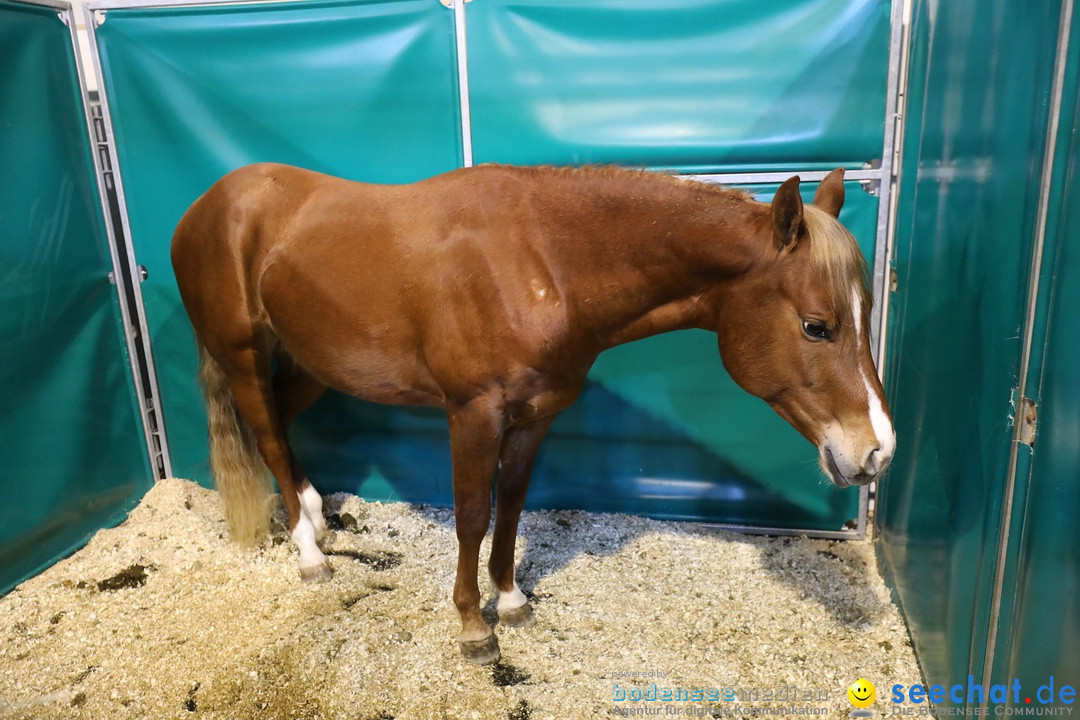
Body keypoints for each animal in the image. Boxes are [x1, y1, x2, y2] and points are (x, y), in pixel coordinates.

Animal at [168, 162, 894, 664]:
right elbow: (471, 515)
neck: (541, 261)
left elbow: (512, 506)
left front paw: (512, 600)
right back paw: (309, 551)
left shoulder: (536, 416)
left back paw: (320, 515)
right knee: (265, 433)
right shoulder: (472, 415)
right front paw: (472, 626)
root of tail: (205, 207)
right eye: (817, 325)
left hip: (312, 363)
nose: (877, 450)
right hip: (242, 356)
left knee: (283, 427)